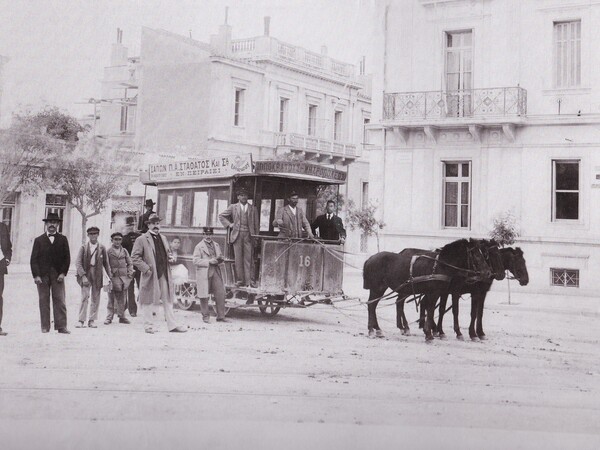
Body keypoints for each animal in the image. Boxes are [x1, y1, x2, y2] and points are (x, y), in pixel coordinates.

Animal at [360, 239, 492, 342]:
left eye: (485, 255)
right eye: (476, 255)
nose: (488, 272)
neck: (441, 265)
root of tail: (370, 258)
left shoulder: (437, 293)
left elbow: (431, 310)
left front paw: (430, 332)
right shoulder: (435, 293)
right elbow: (432, 311)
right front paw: (430, 334)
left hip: (382, 288)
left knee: (374, 305)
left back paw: (378, 329)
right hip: (377, 288)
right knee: (372, 305)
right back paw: (373, 330)